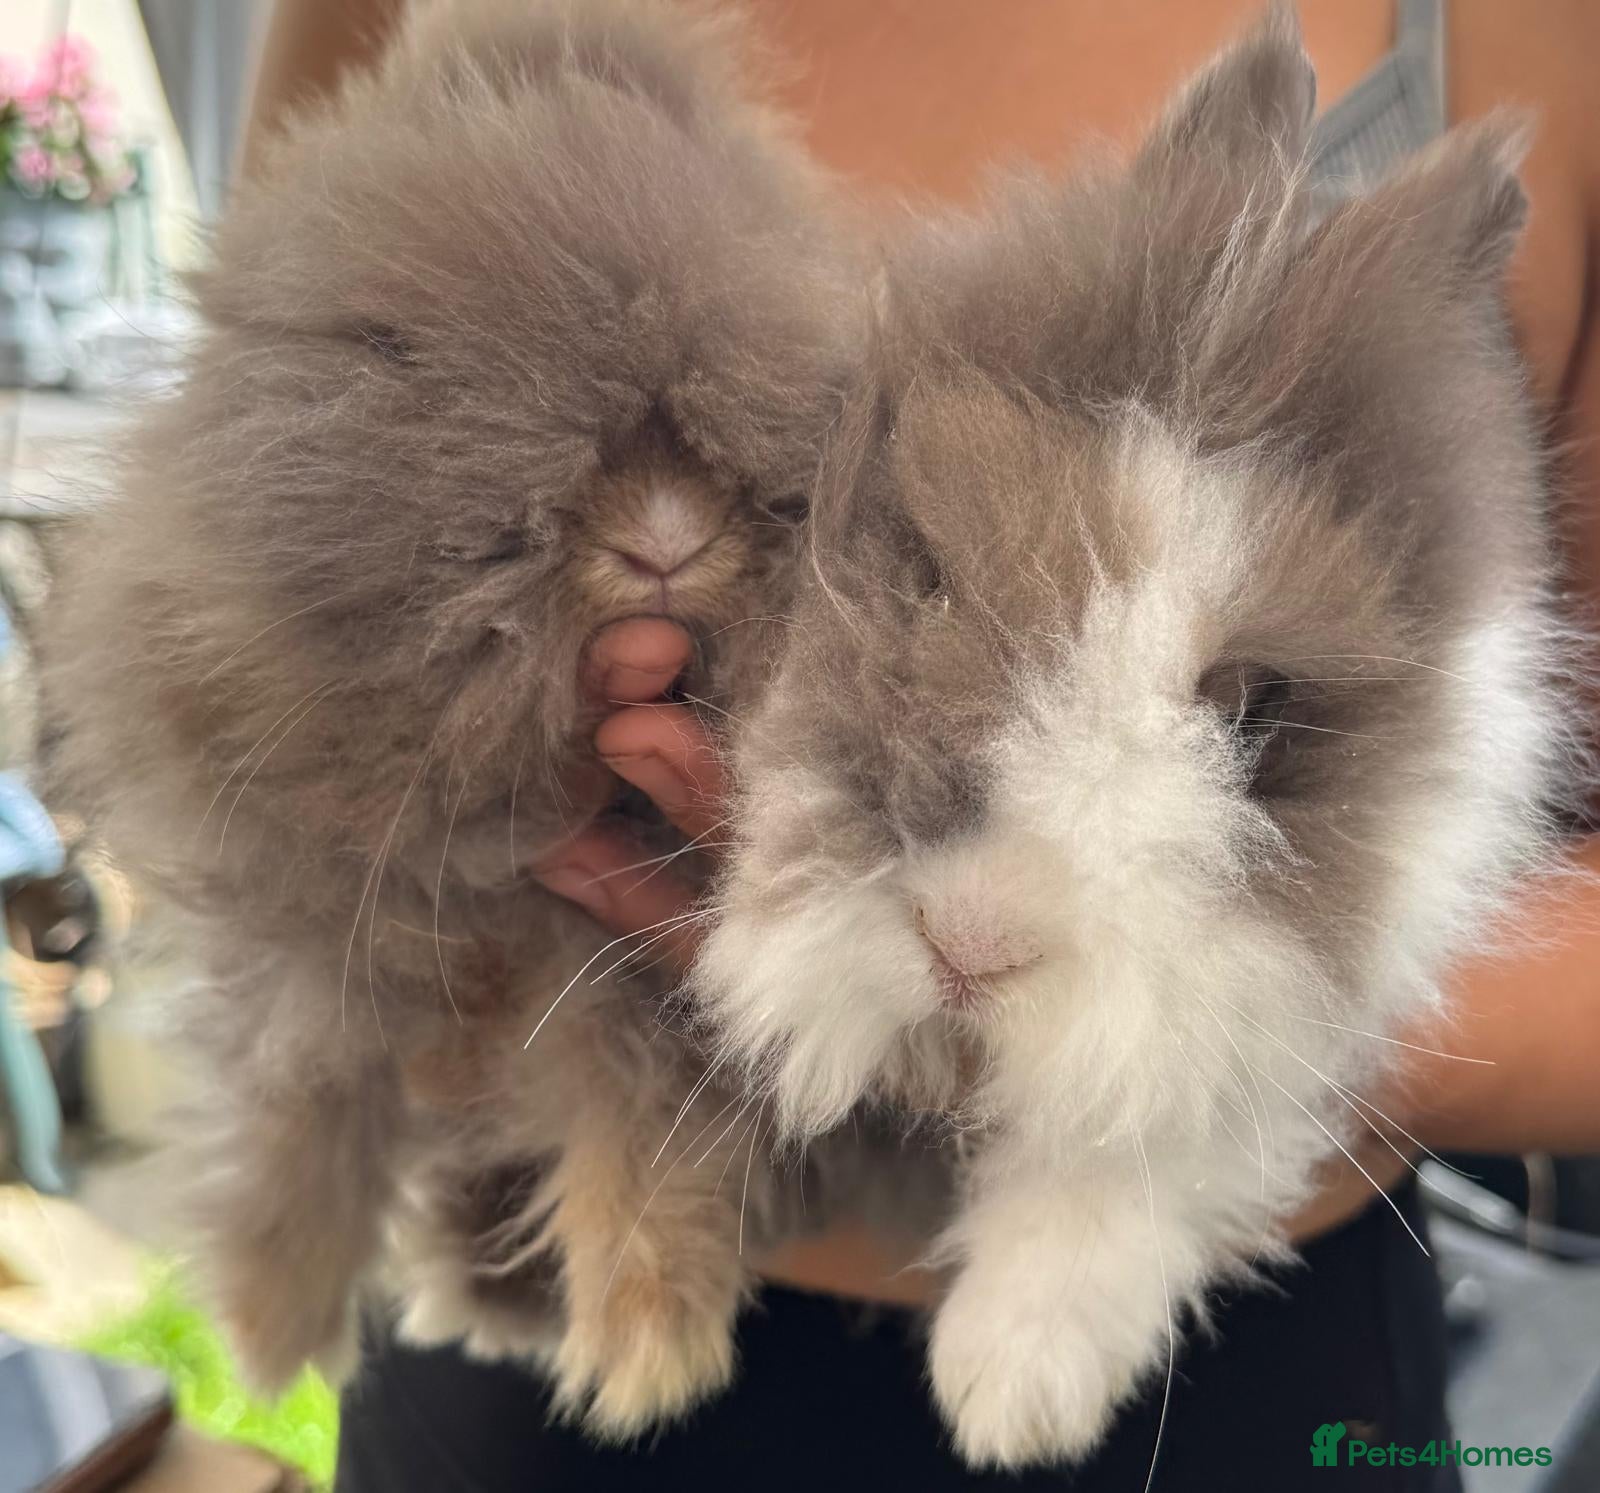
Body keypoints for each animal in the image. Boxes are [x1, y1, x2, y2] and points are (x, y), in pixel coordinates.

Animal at [42, 0, 878, 1436]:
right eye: (387, 346)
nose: (665, 539)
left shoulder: (647, 1002)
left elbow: (645, 1153)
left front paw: (643, 1365)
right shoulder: (309, 952)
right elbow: (295, 1120)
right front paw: (266, 1338)